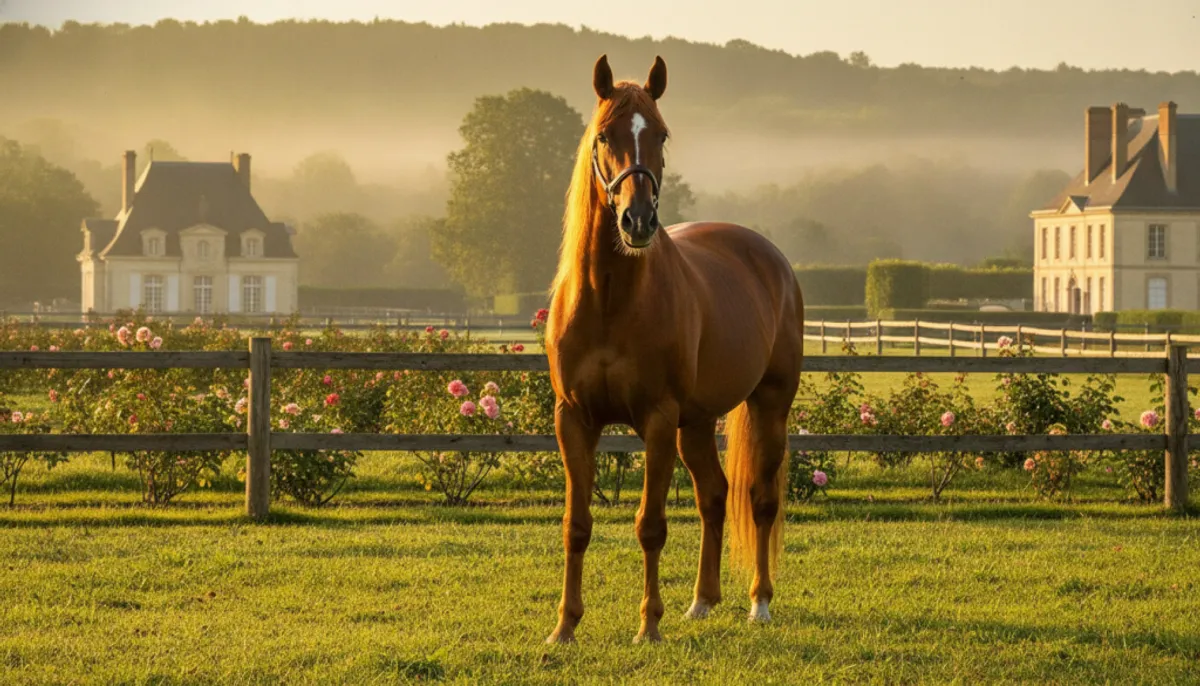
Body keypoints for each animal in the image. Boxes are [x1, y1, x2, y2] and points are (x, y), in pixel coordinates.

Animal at [543, 54, 805, 644]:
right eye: (604, 135)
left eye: (661, 134)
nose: (637, 221)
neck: (609, 300)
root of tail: (771, 258)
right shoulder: (573, 419)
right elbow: (577, 525)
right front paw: (565, 627)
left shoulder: (657, 419)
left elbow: (651, 525)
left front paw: (648, 626)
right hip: (697, 422)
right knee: (713, 495)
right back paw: (702, 601)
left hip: (769, 405)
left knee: (760, 498)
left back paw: (759, 603)